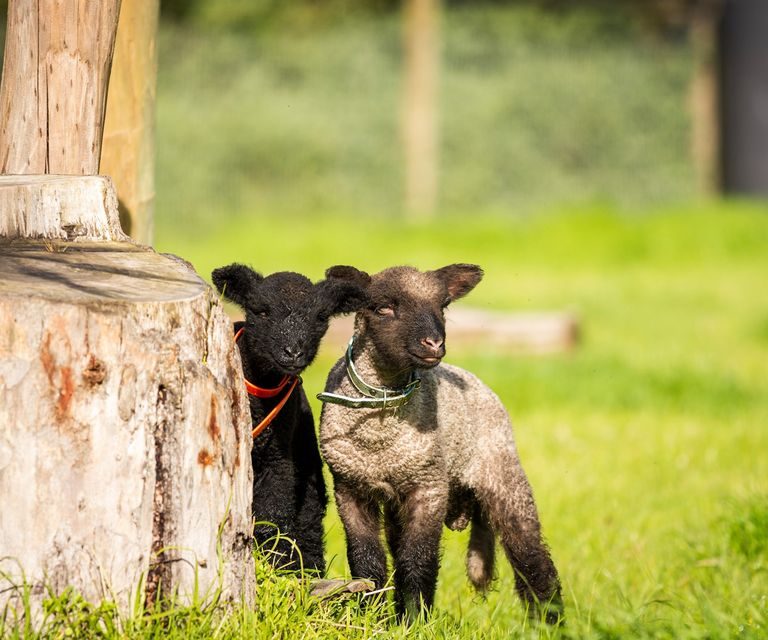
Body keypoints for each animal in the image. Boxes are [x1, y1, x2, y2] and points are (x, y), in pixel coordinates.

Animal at [210, 262, 366, 572]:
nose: (293, 352)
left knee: (309, 523)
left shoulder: (279, 459)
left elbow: (274, 516)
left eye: (320, 317)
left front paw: (274, 565)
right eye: (261, 311)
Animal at [316, 264, 560, 624]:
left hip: (503, 473)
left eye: (443, 306)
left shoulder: (429, 486)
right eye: (383, 307)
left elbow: (419, 560)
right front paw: (371, 616)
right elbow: (367, 560)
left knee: (532, 558)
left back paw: (549, 623)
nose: (434, 343)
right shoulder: (350, 487)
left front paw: (415, 619)